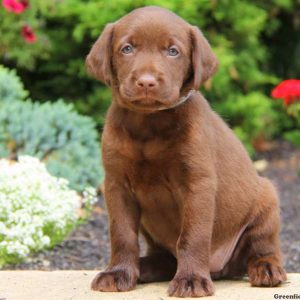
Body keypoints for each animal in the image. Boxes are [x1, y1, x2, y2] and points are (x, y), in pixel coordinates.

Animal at [85, 5, 288, 296]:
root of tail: (219, 269)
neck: (148, 124)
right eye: (127, 49)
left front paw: (191, 279)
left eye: (173, 51)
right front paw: (119, 272)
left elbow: (193, 236)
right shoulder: (116, 183)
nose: (146, 82)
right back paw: (144, 267)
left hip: (267, 199)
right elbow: (122, 234)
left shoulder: (197, 183)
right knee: (165, 258)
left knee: (264, 248)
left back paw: (266, 268)